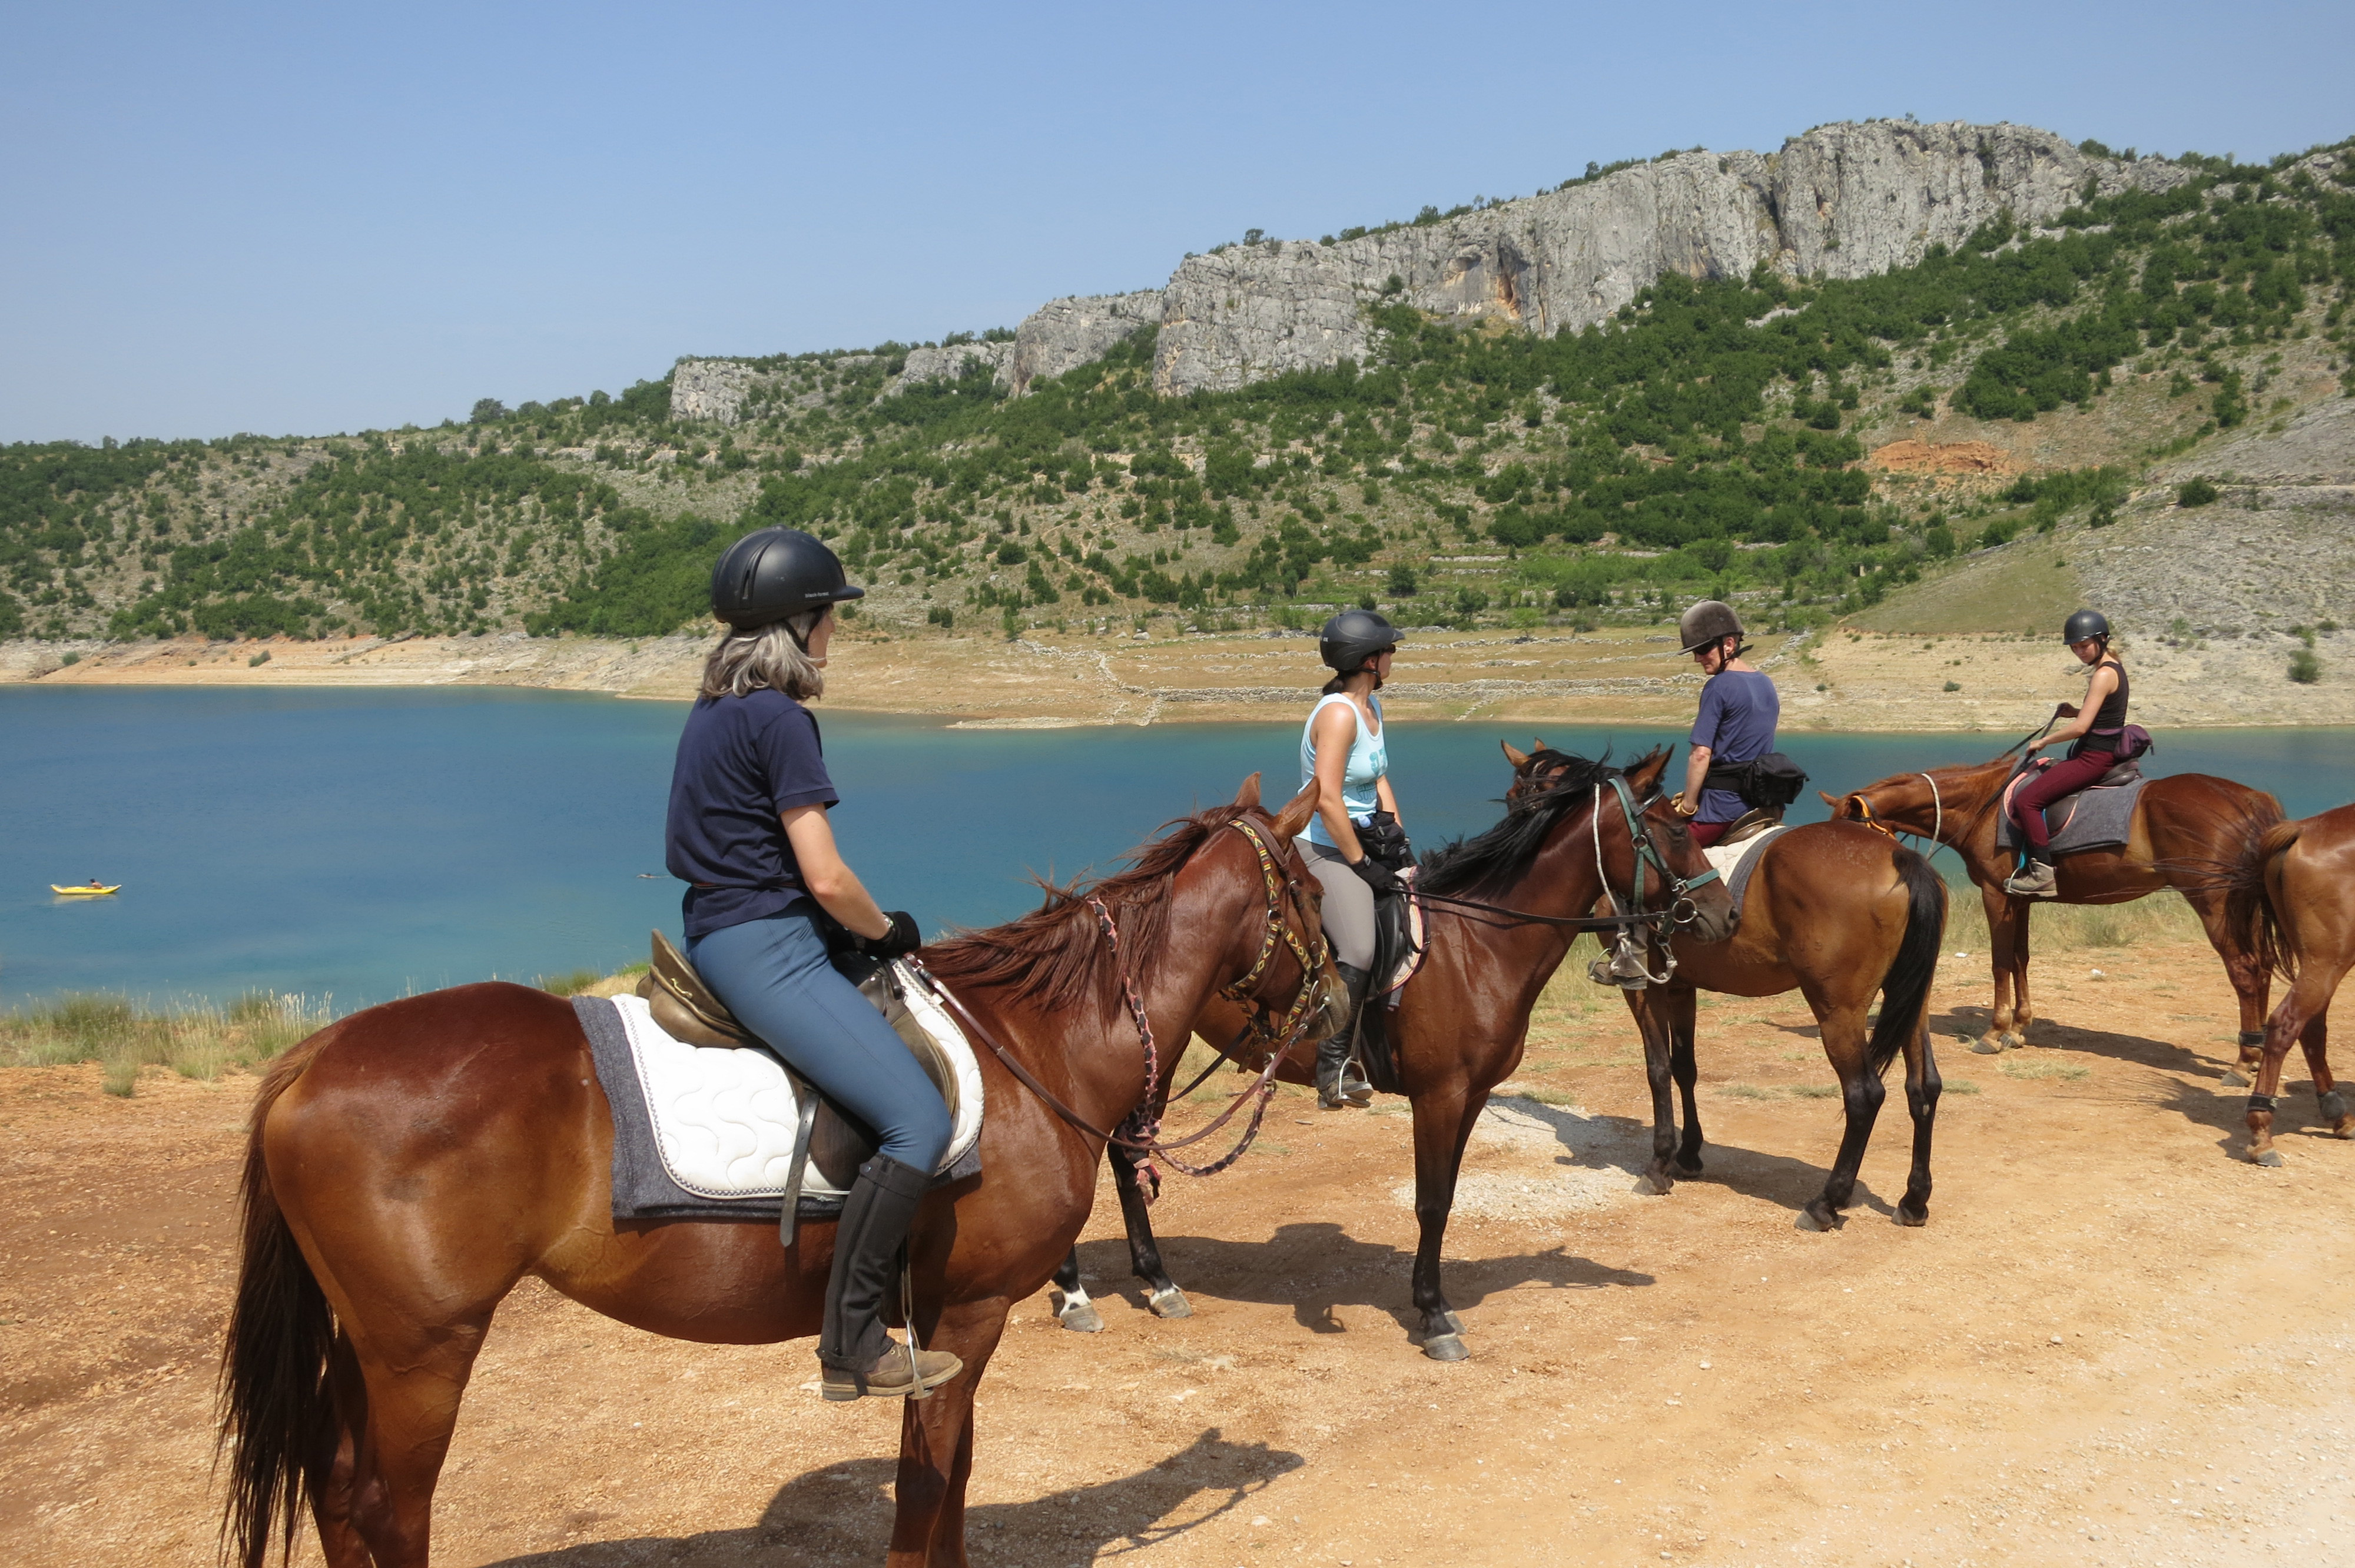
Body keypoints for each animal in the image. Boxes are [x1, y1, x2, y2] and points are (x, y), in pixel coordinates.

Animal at [221, 777, 1347, 1563]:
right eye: (1308, 891)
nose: (1343, 1020)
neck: (1034, 1045)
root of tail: (314, 1056)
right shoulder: (968, 1313)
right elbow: (928, 1481)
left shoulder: (950, 1322)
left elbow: (954, 1472)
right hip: (424, 1350)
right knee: (387, 1508)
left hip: (371, 1344)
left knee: (335, 1488)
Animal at [1046, 744, 1733, 1356]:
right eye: (1676, 829)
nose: (1723, 915)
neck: (1478, 945)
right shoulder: (1439, 1096)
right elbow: (1429, 1203)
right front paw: (1433, 1318)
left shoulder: (1472, 1096)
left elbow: (1447, 1196)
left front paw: (1435, 1301)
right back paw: (1078, 1293)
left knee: (1123, 1157)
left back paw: (1157, 1282)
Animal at [1507, 744, 1950, 1234]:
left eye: (1518, 798)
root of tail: (1897, 856)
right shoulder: (1681, 987)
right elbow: (1685, 1068)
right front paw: (1688, 1155)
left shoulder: (1643, 987)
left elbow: (1658, 1069)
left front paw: (1660, 1165)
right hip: (1911, 999)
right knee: (1923, 1087)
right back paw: (1915, 1199)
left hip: (1838, 1010)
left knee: (1864, 1095)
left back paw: (1827, 1202)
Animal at [1837, 744, 2280, 1064]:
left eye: (1847, 827)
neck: (1983, 804)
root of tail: (2251, 799)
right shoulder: (2021, 899)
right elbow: (2020, 959)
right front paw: (2018, 1029)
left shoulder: (1996, 895)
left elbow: (2000, 962)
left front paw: (1994, 1033)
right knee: (2263, 969)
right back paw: (2256, 1052)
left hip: (2214, 903)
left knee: (2246, 970)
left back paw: (2244, 1062)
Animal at [2214, 805, 2355, 1158]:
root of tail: (2302, 832)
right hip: (2327, 961)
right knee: (2286, 1023)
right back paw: (2262, 1132)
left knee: (2312, 1027)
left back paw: (2339, 1115)